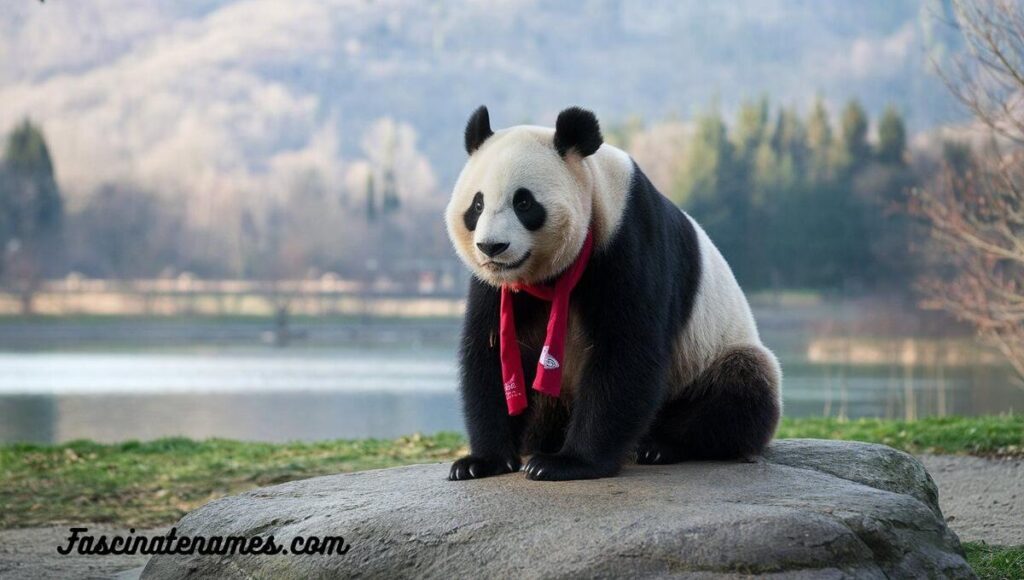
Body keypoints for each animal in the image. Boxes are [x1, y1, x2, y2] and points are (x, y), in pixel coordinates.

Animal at [444, 104, 778, 481]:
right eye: (477, 206)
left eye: (524, 203)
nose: (492, 247)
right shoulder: (496, 286)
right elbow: (491, 352)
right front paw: (482, 461)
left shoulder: (627, 240)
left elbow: (626, 350)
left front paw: (567, 463)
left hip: (709, 357)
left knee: (738, 391)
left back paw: (660, 446)